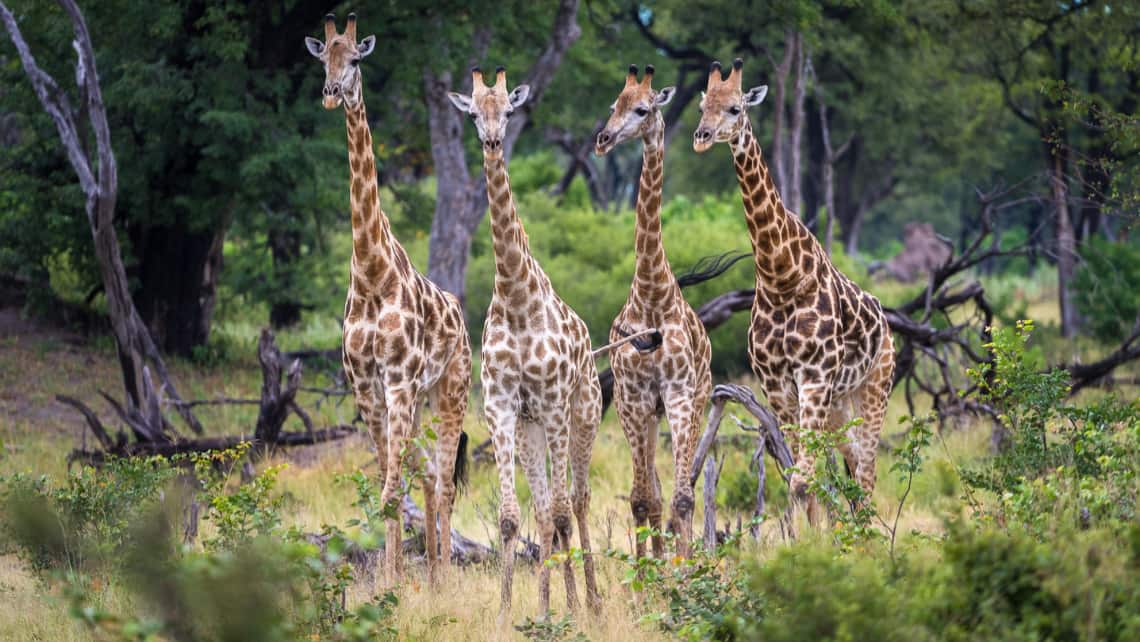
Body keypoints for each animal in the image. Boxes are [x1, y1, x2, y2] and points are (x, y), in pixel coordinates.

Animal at [303, 15, 471, 583]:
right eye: (322, 58)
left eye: (355, 58)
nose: (332, 94)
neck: (371, 274)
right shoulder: (366, 385)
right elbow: (387, 485)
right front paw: (391, 580)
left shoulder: (398, 380)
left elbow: (392, 488)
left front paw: (400, 580)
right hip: (419, 399)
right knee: (428, 475)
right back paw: (435, 573)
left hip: (449, 389)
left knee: (442, 480)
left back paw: (444, 576)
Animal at [446, 67, 606, 620]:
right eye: (474, 113)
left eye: (510, 110)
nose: (494, 141)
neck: (515, 297)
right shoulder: (500, 407)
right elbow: (513, 517)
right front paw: (511, 611)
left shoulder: (555, 405)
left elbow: (560, 511)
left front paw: (563, 608)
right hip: (533, 428)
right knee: (543, 509)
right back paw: (562, 600)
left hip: (582, 417)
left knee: (575, 502)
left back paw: (591, 602)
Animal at [688, 57, 893, 524]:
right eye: (702, 107)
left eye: (735, 108)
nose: (701, 138)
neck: (781, 275)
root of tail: (889, 327)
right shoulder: (779, 385)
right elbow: (802, 481)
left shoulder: (814, 377)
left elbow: (802, 479)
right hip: (838, 404)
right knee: (853, 465)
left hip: (874, 389)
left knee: (868, 472)